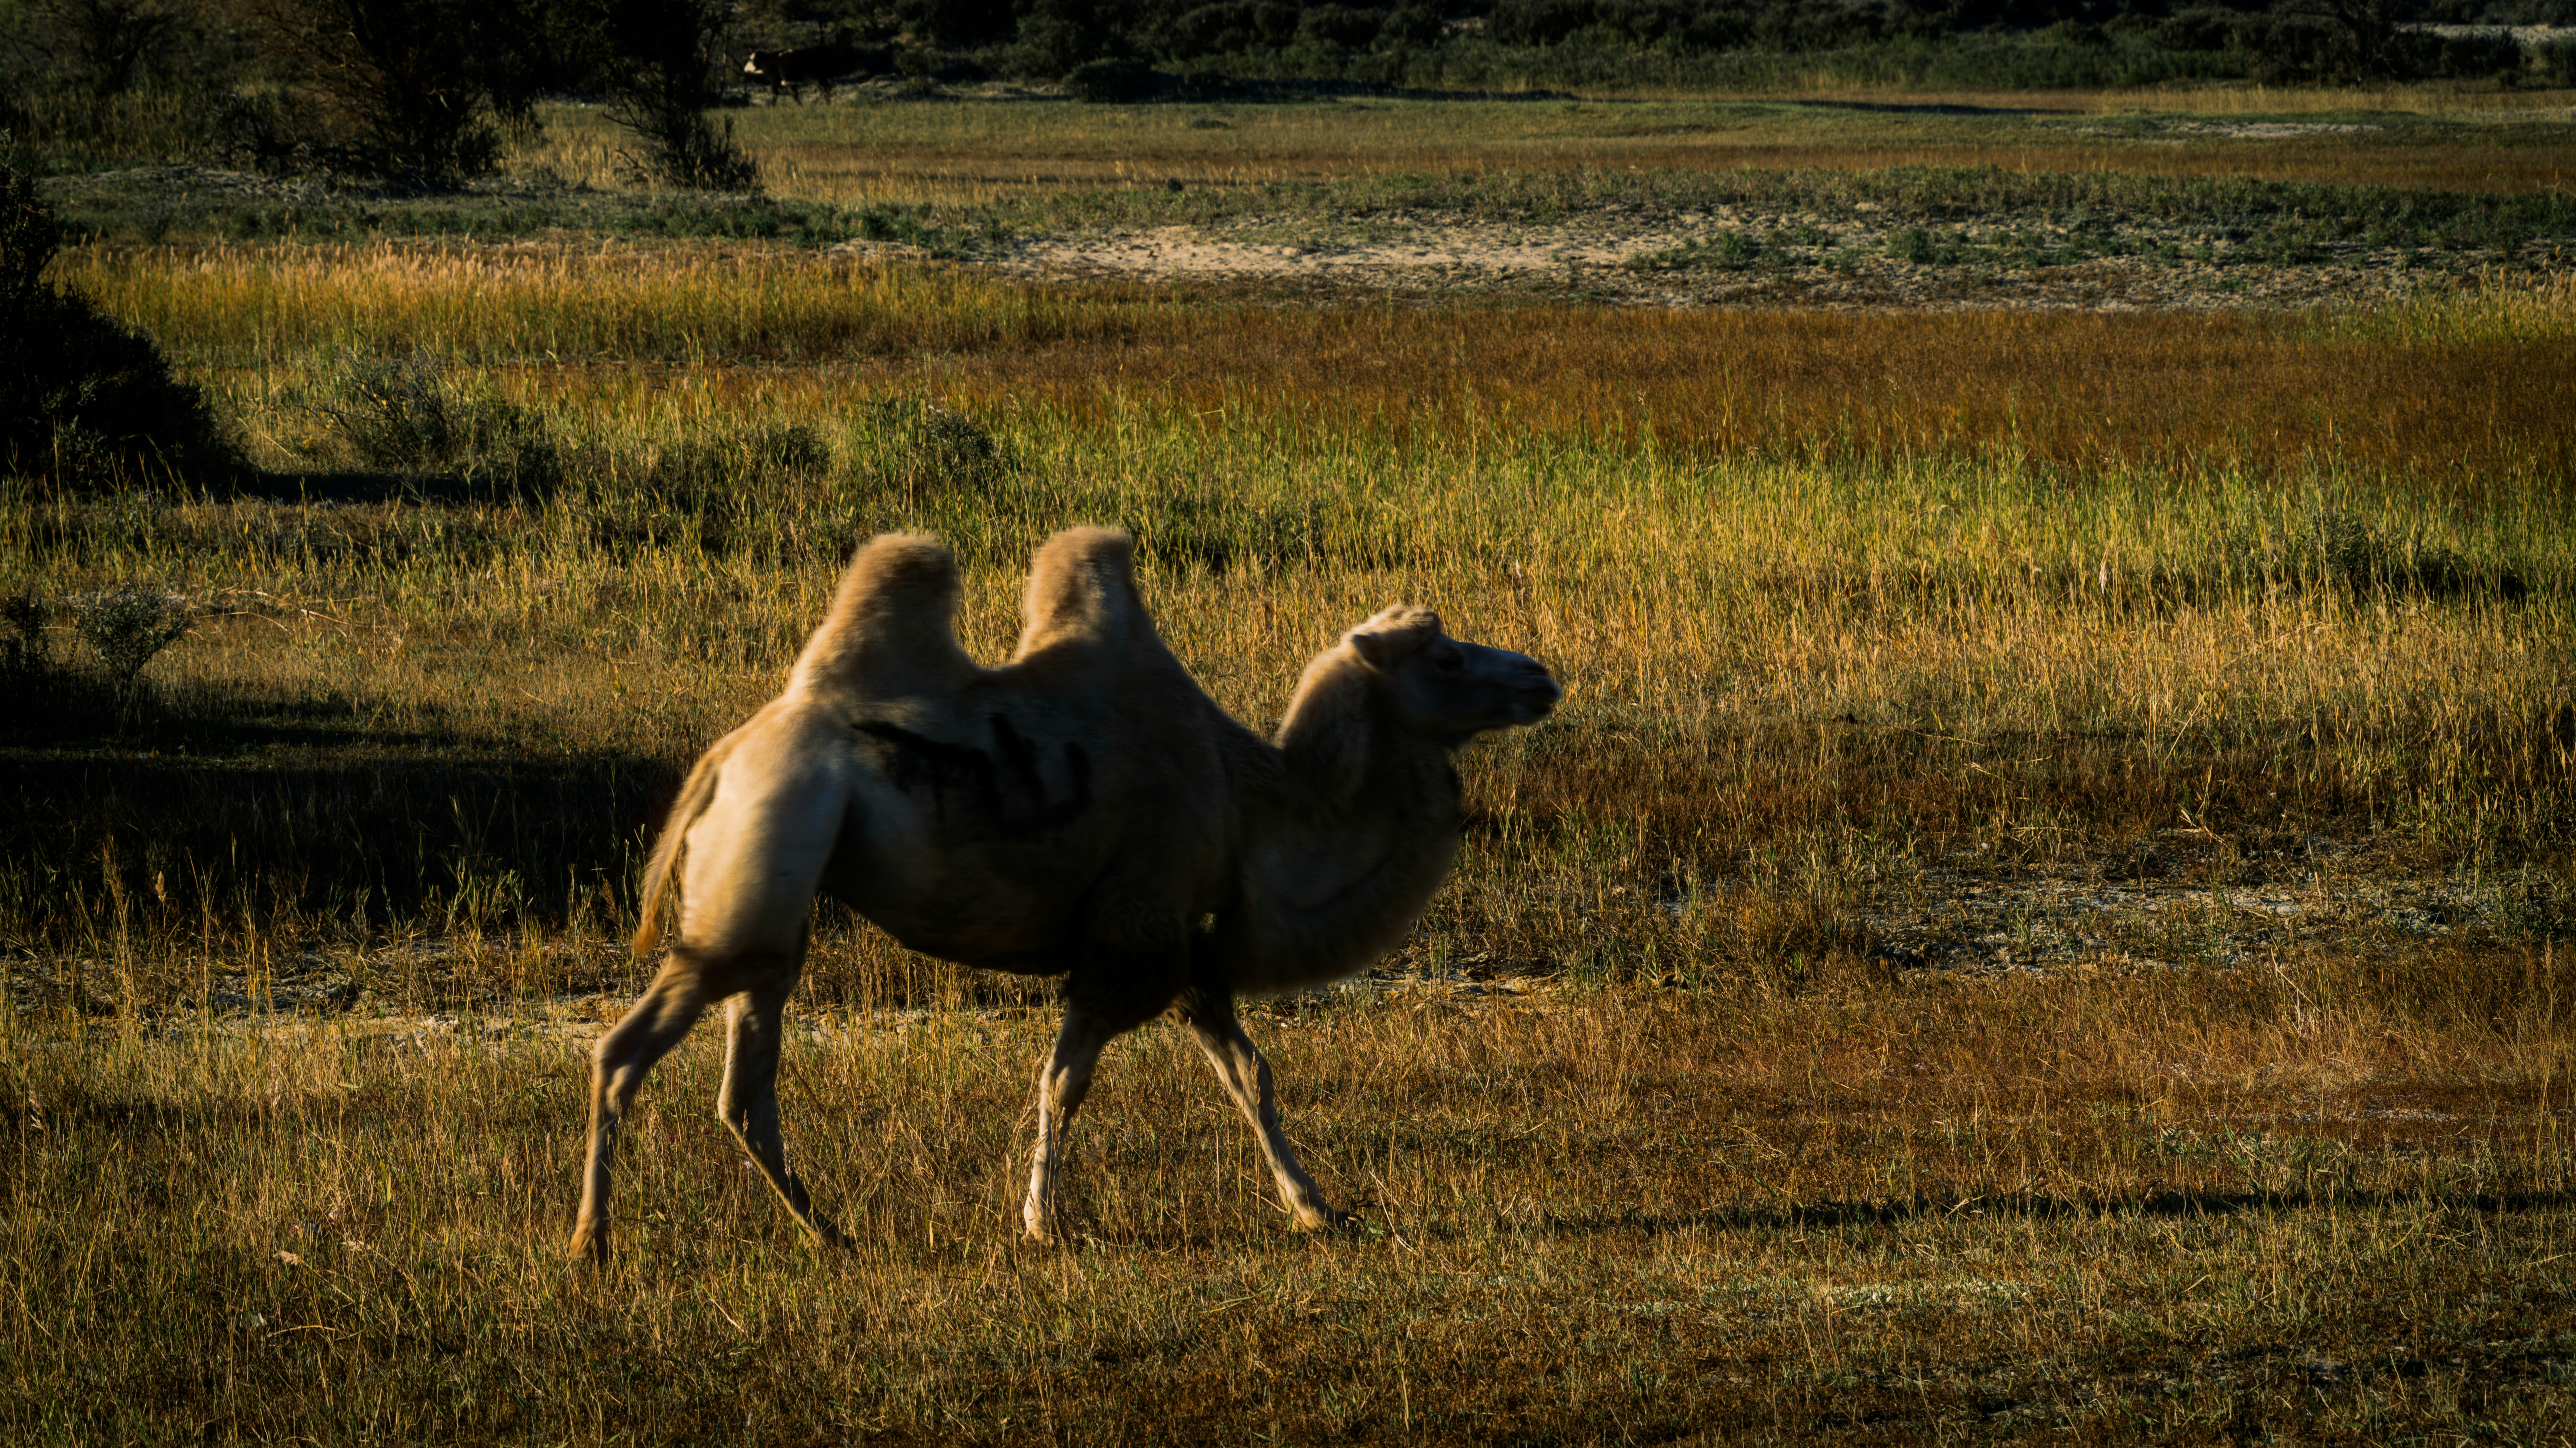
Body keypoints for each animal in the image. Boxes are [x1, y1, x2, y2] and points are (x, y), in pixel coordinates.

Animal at [568, 526, 1558, 1260]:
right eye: (1446, 659)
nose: (1543, 675)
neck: (1252, 803)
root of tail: (727, 757)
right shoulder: (1131, 934)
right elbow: (1065, 1080)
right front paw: (1043, 1222)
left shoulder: (1186, 950)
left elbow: (1250, 1074)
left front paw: (1317, 1208)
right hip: (756, 874)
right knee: (625, 1050)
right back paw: (593, 1243)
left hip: (779, 911)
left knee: (746, 1086)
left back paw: (829, 1233)